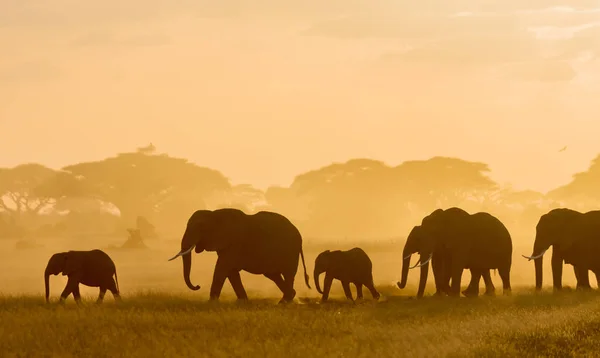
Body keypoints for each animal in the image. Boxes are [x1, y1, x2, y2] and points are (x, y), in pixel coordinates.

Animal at [168, 208, 312, 304]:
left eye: (201, 227)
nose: (197, 286)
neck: (214, 214)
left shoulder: (234, 242)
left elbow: (222, 268)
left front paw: (211, 303)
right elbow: (231, 272)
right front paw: (243, 302)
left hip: (290, 251)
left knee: (288, 274)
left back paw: (284, 302)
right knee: (273, 275)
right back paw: (288, 298)